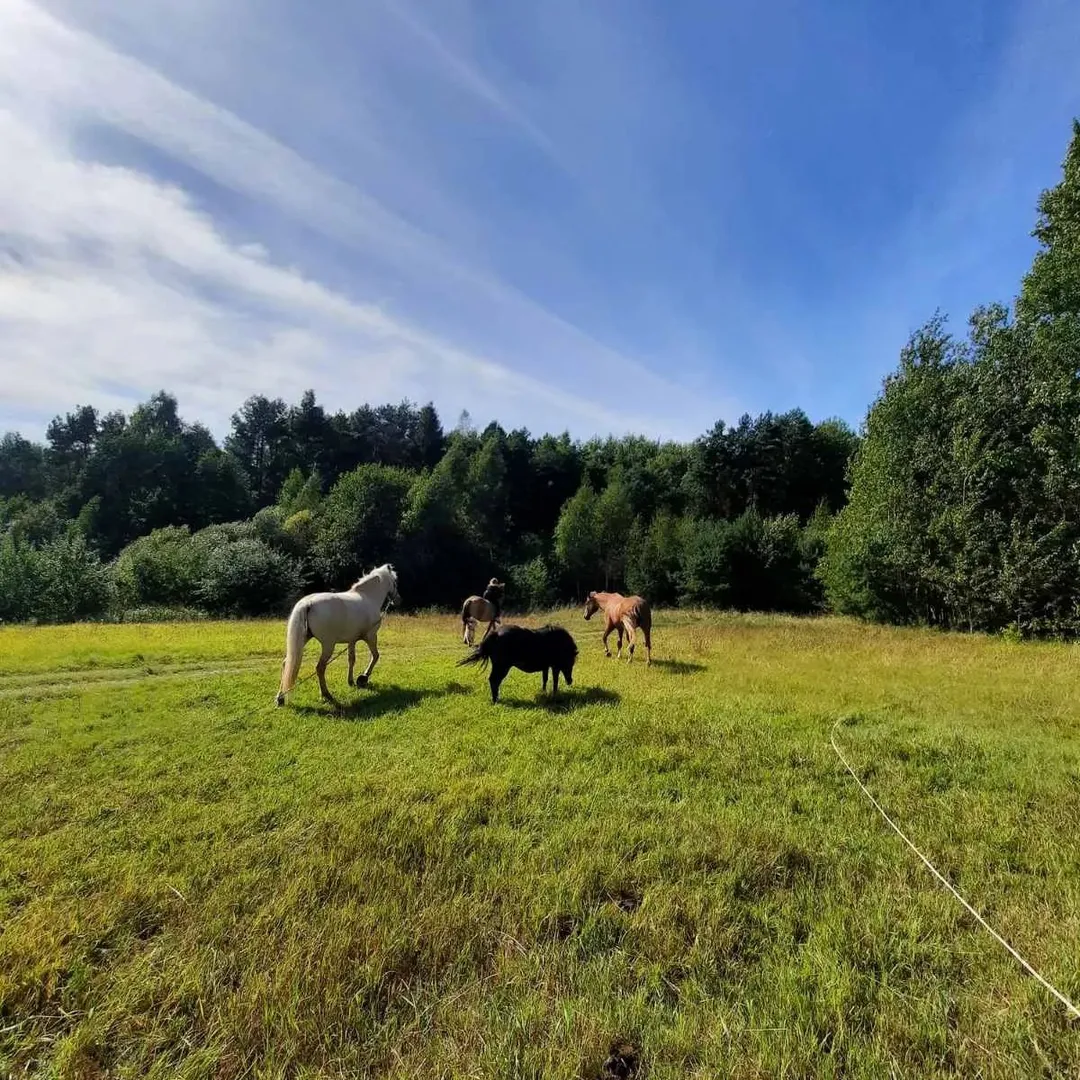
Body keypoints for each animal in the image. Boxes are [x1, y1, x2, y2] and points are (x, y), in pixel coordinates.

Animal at [276, 565, 399, 708]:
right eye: (395, 582)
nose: (398, 599)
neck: (368, 597)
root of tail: (307, 603)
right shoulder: (371, 636)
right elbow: (375, 656)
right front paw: (363, 677)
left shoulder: (352, 640)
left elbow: (351, 659)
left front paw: (351, 681)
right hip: (328, 645)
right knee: (320, 668)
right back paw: (326, 695)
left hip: (303, 640)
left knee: (286, 663)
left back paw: (280, 698)